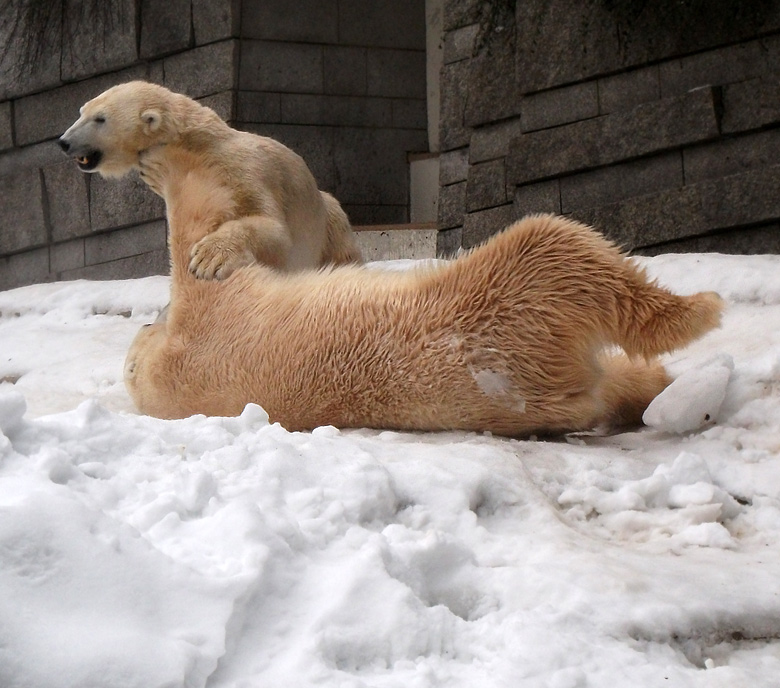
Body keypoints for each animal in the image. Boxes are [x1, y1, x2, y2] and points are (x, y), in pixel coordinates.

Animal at [59, 78, 362, 276]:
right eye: (82, 112)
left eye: (100, 119)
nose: (64, 141)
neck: (199, 147)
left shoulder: (242, 171)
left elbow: (272, 227)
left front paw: (209, 258)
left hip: (328, 225)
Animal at [123, 148, 724, 436]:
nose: (147, 321)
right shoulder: (210, 324)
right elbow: (195, 229)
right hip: (501, 301)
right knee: (558, 244)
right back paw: (698, 313)